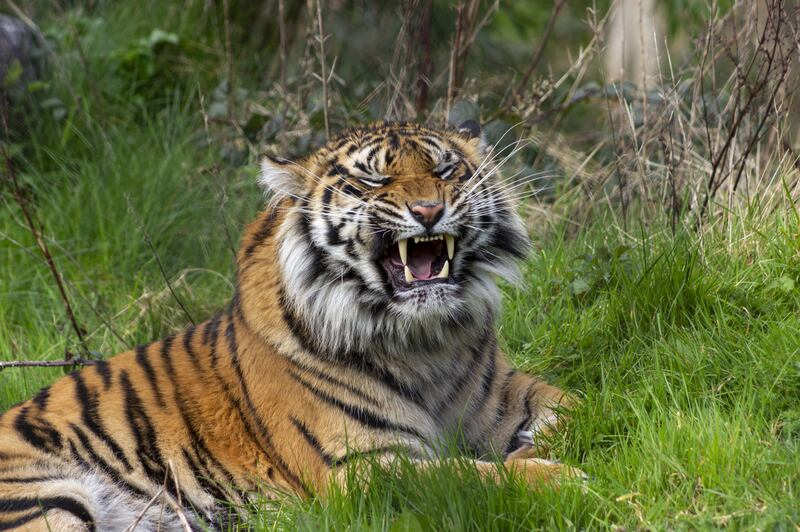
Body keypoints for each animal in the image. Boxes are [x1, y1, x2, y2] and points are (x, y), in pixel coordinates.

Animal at [1, 122, 588, 528]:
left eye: (446, 171)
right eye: (373, 178)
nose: (428, 210)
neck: (423, 341)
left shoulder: (502, 395)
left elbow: (580, 407)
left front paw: (543, 446)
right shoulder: (361, 468)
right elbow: (469, 473)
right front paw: (563, 477)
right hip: (46, 498)